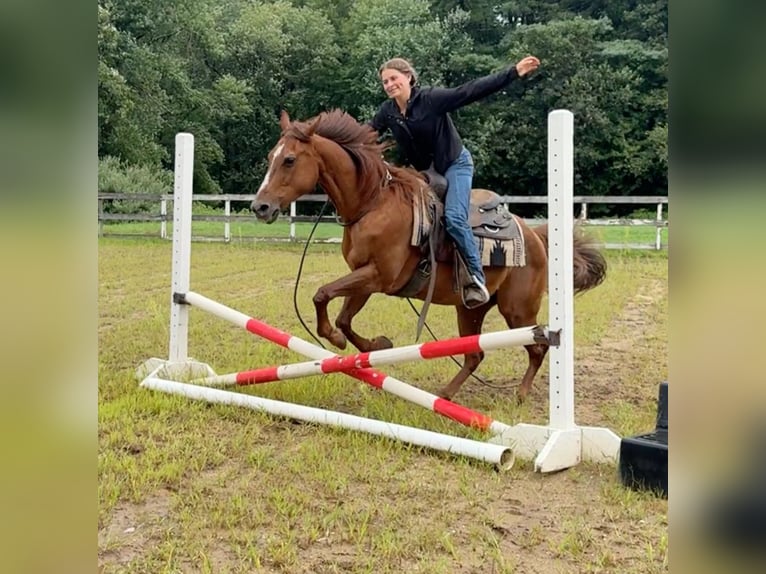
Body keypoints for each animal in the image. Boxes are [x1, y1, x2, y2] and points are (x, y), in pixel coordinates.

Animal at [252, 109, 608, 404]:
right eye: (271, 156)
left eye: (289, 160)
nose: (260, 207)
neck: (373, 203)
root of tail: (535, 235)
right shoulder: (364, 278)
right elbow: (342, 318)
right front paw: (373, 344)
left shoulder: (378, 276)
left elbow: (321, 293)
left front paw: (340, 340)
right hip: (471, 310)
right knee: (475, 355)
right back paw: (446, 395)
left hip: (517, 310)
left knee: (538, 345)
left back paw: (519, 393)